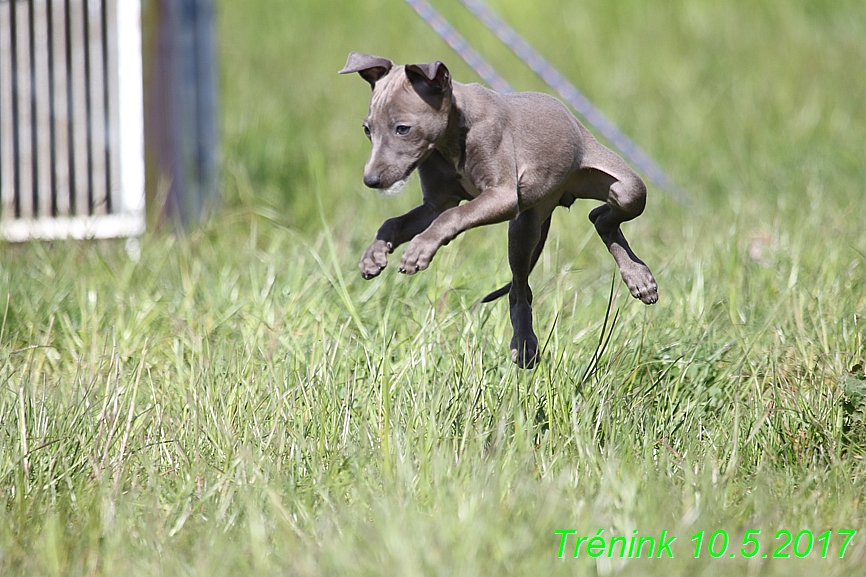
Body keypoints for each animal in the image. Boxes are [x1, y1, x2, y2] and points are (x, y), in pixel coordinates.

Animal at [338, 53, 656, 368]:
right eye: (367, 130)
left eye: (403, 128)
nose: (371, 180)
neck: (452, 138)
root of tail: (560, 196)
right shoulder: (436, 204)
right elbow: (395, 222)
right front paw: (374, 255)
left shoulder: (501, 196)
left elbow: (452, 216)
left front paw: (419, 250)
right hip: (527, 223)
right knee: (524, 285)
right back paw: (527, 343)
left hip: (626, 189)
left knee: (602, 216)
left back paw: (638, 277)